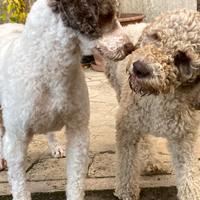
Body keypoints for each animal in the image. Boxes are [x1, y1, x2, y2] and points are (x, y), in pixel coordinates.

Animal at [0, 0, 134, 199]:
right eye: (106, 15)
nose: (131, 47)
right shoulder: (17, 138)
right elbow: (20, 188)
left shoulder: (78, 131)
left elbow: (75, 184)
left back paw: (55, 147)